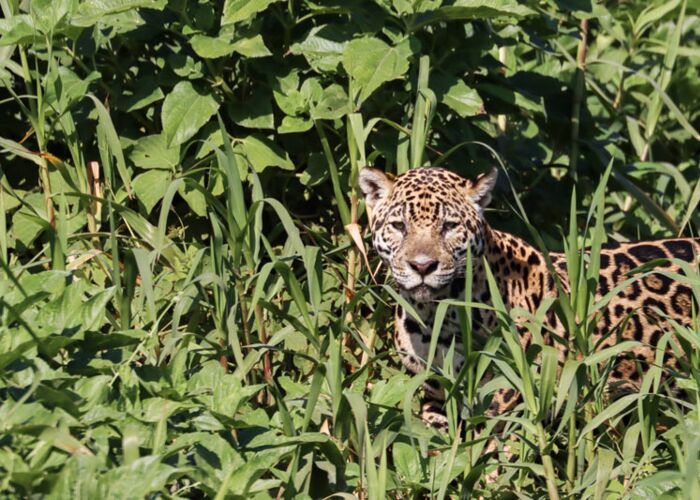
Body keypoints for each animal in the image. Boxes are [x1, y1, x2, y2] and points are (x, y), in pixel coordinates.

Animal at [359, 165, 699, 442]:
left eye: (450, 226)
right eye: (399, 226)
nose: (422, 266)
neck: (433, 314)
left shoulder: (509, 395)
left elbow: (492, 453)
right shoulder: (436, 390)